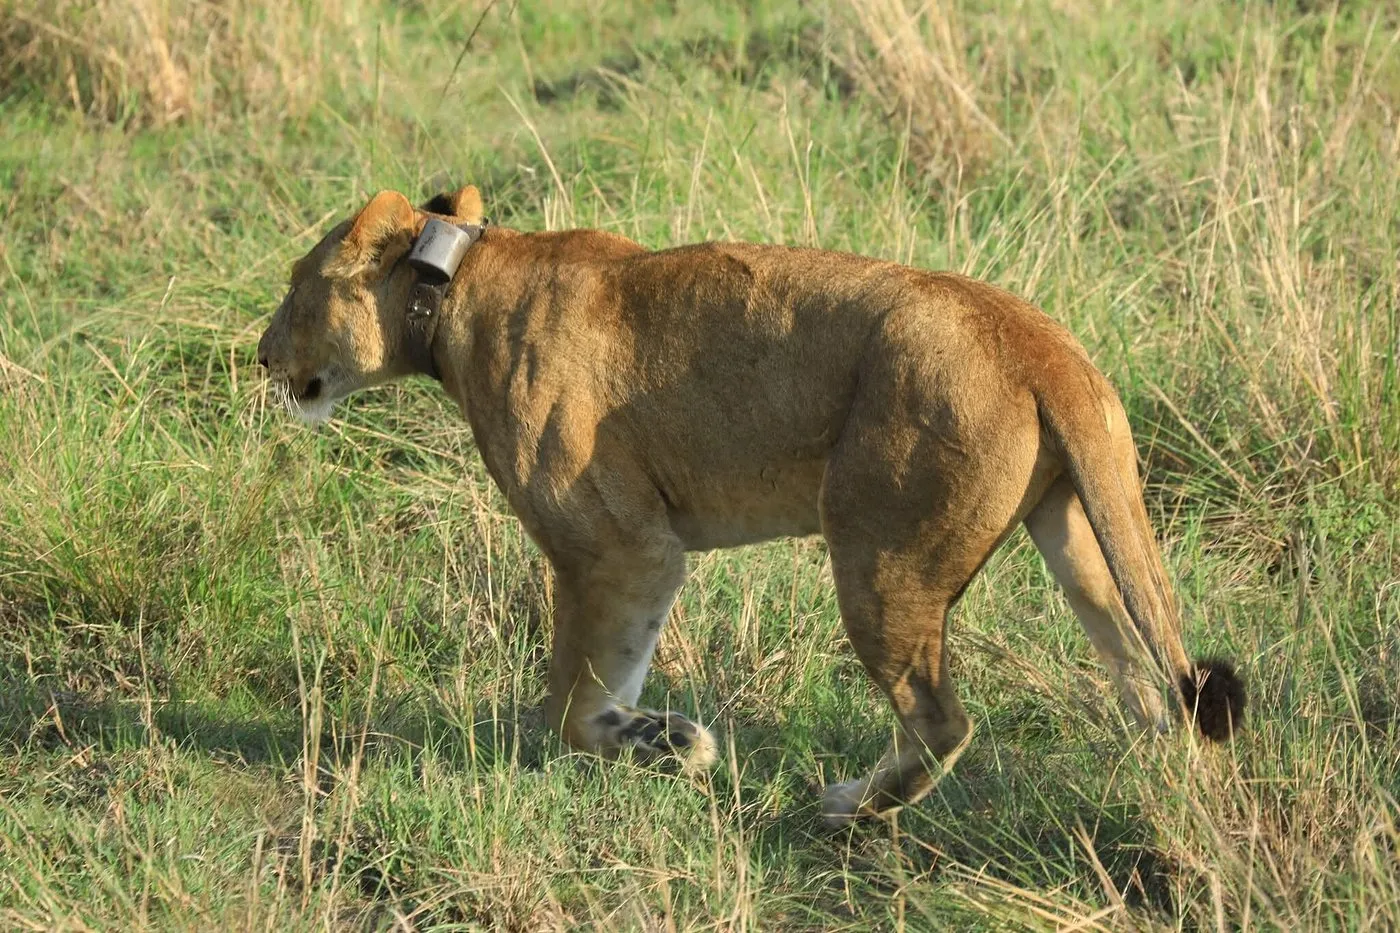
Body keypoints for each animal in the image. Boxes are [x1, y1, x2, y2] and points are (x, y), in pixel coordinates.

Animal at [257, 185, 1245, 822]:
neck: (459, 282)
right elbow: (601, 684)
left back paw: (848, 809)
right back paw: (1171, 792)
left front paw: (671, 744)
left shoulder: (615, 543)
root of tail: (1040, 342)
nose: (262, 355)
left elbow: (571, 704)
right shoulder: (638, 554)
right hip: (1079, 538)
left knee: (942, 718)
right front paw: (657, 737)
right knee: (1148, 682)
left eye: (295, 286)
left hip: (881, 559)